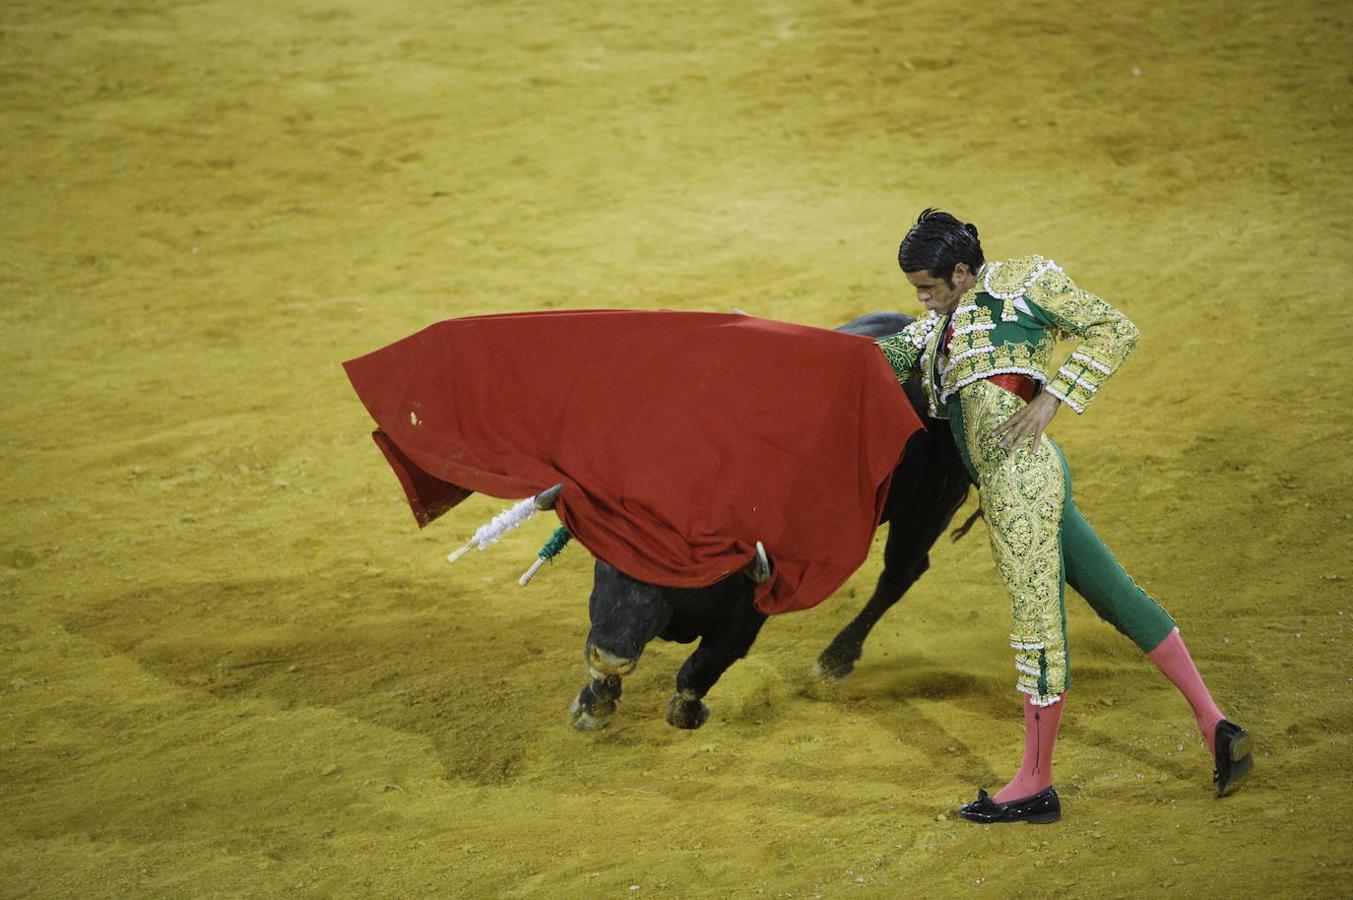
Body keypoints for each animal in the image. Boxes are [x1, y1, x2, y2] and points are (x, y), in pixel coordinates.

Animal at [568, 313, 974, 730]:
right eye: (606, 563)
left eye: (668, 579)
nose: (610, 655)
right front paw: (594, 703)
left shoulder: (745, 620)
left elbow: (697, 672)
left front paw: (688, 712)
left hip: (928, 508)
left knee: (899, 574)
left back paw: (835, 660)